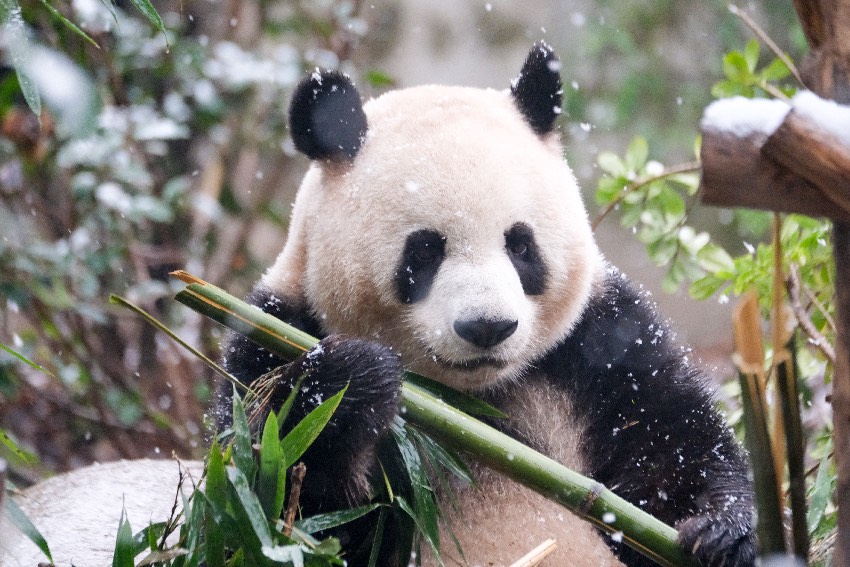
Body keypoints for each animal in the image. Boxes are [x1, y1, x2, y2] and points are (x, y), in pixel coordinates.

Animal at [220, 41, 756, 567]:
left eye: (520, 245)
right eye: (424, 252)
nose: (487, 327)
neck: (470, 397)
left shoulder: (598, 344)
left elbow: (667, 443)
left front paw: (721, 530)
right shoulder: (274, 330)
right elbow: (280, 500)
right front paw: (357, 378)